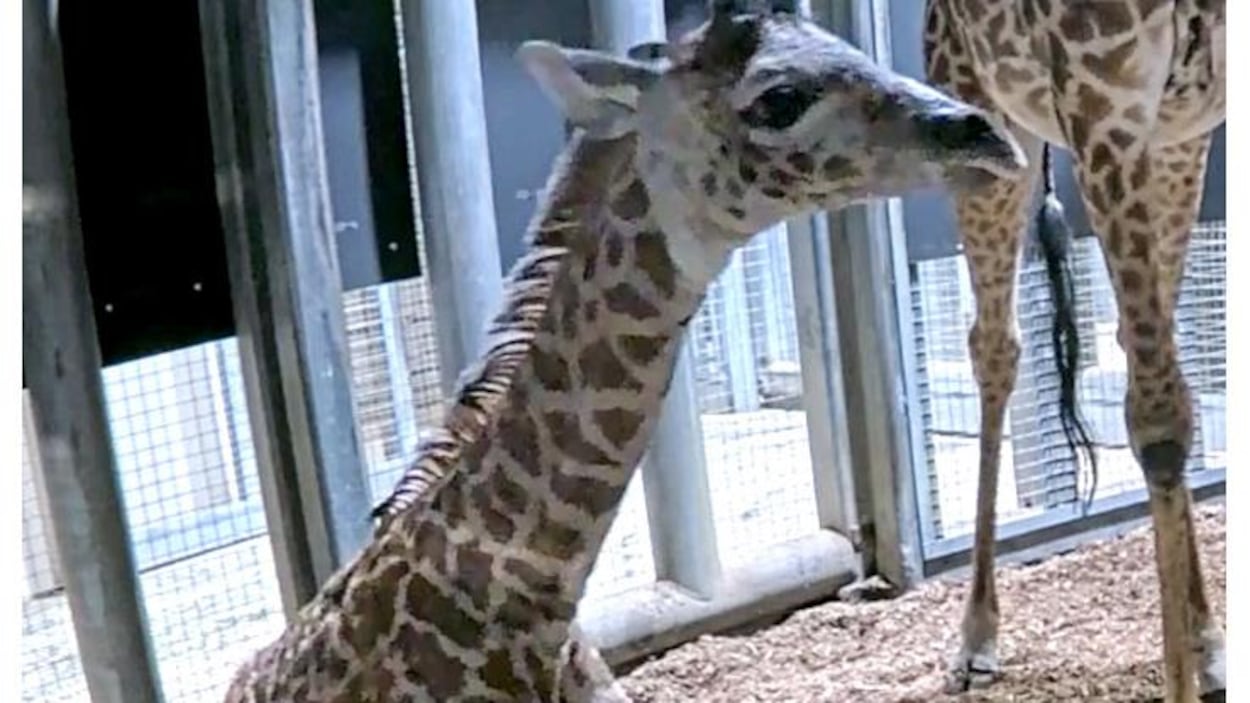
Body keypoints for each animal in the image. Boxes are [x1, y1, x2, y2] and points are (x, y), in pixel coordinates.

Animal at [920, 1, 1226, 700]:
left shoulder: (1187, 125)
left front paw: (1203, 649)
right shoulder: (1102, 98)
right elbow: (1157, 424)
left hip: (1174, 138)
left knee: (1146, 352)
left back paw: (1209, 642)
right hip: (983, 116)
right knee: (995, 345)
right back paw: (976, 637)